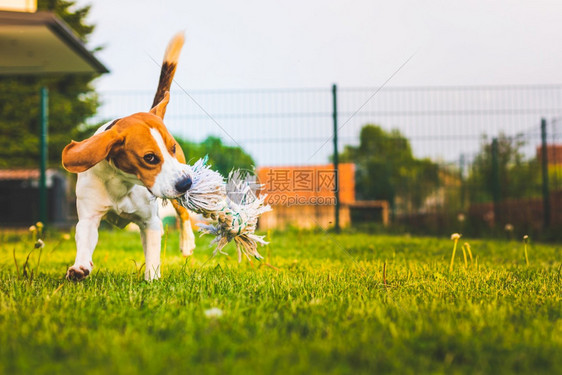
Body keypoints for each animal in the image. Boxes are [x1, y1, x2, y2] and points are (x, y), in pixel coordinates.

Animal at [61, 33, 195, 282]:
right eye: (149, 158)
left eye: (172, 148)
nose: (186, 183)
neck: (121, 182)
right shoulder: (89, 217)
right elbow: (84, 240)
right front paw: (80, 267)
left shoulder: (150, 222)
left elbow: (152, 255)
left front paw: (152, 280)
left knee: (183, 214)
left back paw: (187, 242)